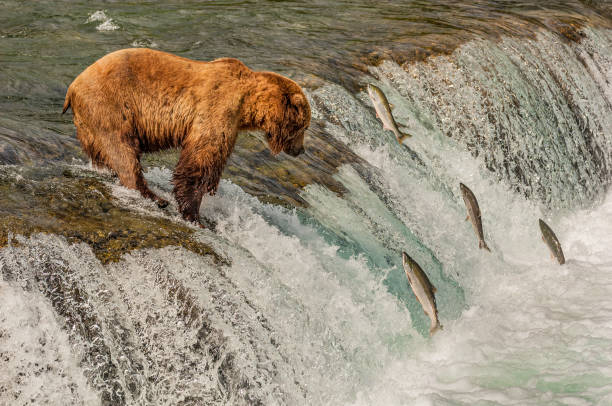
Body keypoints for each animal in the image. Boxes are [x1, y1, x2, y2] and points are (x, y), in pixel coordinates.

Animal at [64, 48, 308, 225]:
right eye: (305, 127)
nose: (300, 150)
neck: (247, 104)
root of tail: (72, 86)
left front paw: (210, 190)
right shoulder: (217, 108)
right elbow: (200, 159)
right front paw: (193, 212)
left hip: (89, 123)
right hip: (109, 105)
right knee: (122, 150)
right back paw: (154, 197)